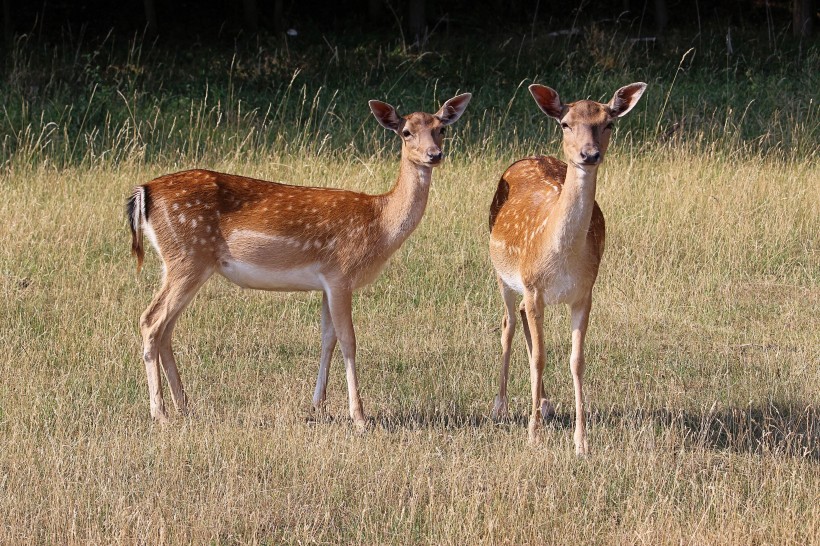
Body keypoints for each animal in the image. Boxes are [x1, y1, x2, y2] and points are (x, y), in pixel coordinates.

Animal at [125, 91, 470, 428]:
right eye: (406, 132)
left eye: (441, 128)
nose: (434, 154)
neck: (379, 224)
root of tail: (144, 191)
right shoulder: (341, 273)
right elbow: (349, 340)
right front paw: (358, 416)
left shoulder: (326, 282)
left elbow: (327, 338)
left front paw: (318, 407)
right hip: (187, 257)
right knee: (150, 320)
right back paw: (160, 413)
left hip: (184, 262)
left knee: (167, 327)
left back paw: (185, 408)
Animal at [490, 82, 644, 454]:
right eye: (565, 124)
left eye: (608, 123)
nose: (589, 154)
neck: (561, 257)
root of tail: (529, 157)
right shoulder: (533, 286)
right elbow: (540, 358)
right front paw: (532, 436)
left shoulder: (585, 293)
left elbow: (577, 360)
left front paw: (581, 442)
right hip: (503, 274)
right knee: (508, 323)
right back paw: (500, 407)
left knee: (520, 318)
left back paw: (545, 404)